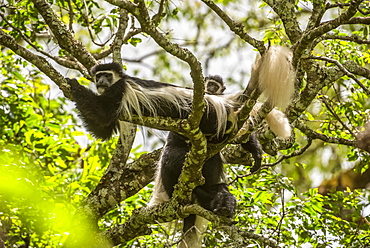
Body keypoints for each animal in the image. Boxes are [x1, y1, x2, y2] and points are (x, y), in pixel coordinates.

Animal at [66, 45, 294, 247]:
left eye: (106, 75)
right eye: (98, 76)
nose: (100, 81)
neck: (120, 81)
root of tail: (221, 103)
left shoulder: (119, 90)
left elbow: (102, 114)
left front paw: (73, 84)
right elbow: (102, 128)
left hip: (208, 116)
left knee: (179, 153)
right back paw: (220, 201)